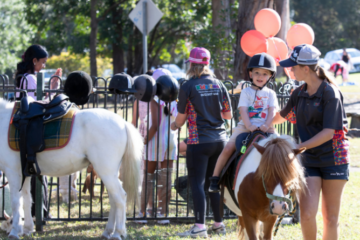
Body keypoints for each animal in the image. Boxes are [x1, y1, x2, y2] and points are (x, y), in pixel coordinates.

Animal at [0, 98, 143, 240]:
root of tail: (123, 123)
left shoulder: (13, 172)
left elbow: (16, 202)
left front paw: (14, 232)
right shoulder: (25, 173)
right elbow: (26, 199)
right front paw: (27, 229)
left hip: (106, 171)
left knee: (120, 197)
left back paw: (117, 233)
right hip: (109, 173)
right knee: (114, 199)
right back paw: (108, 231)